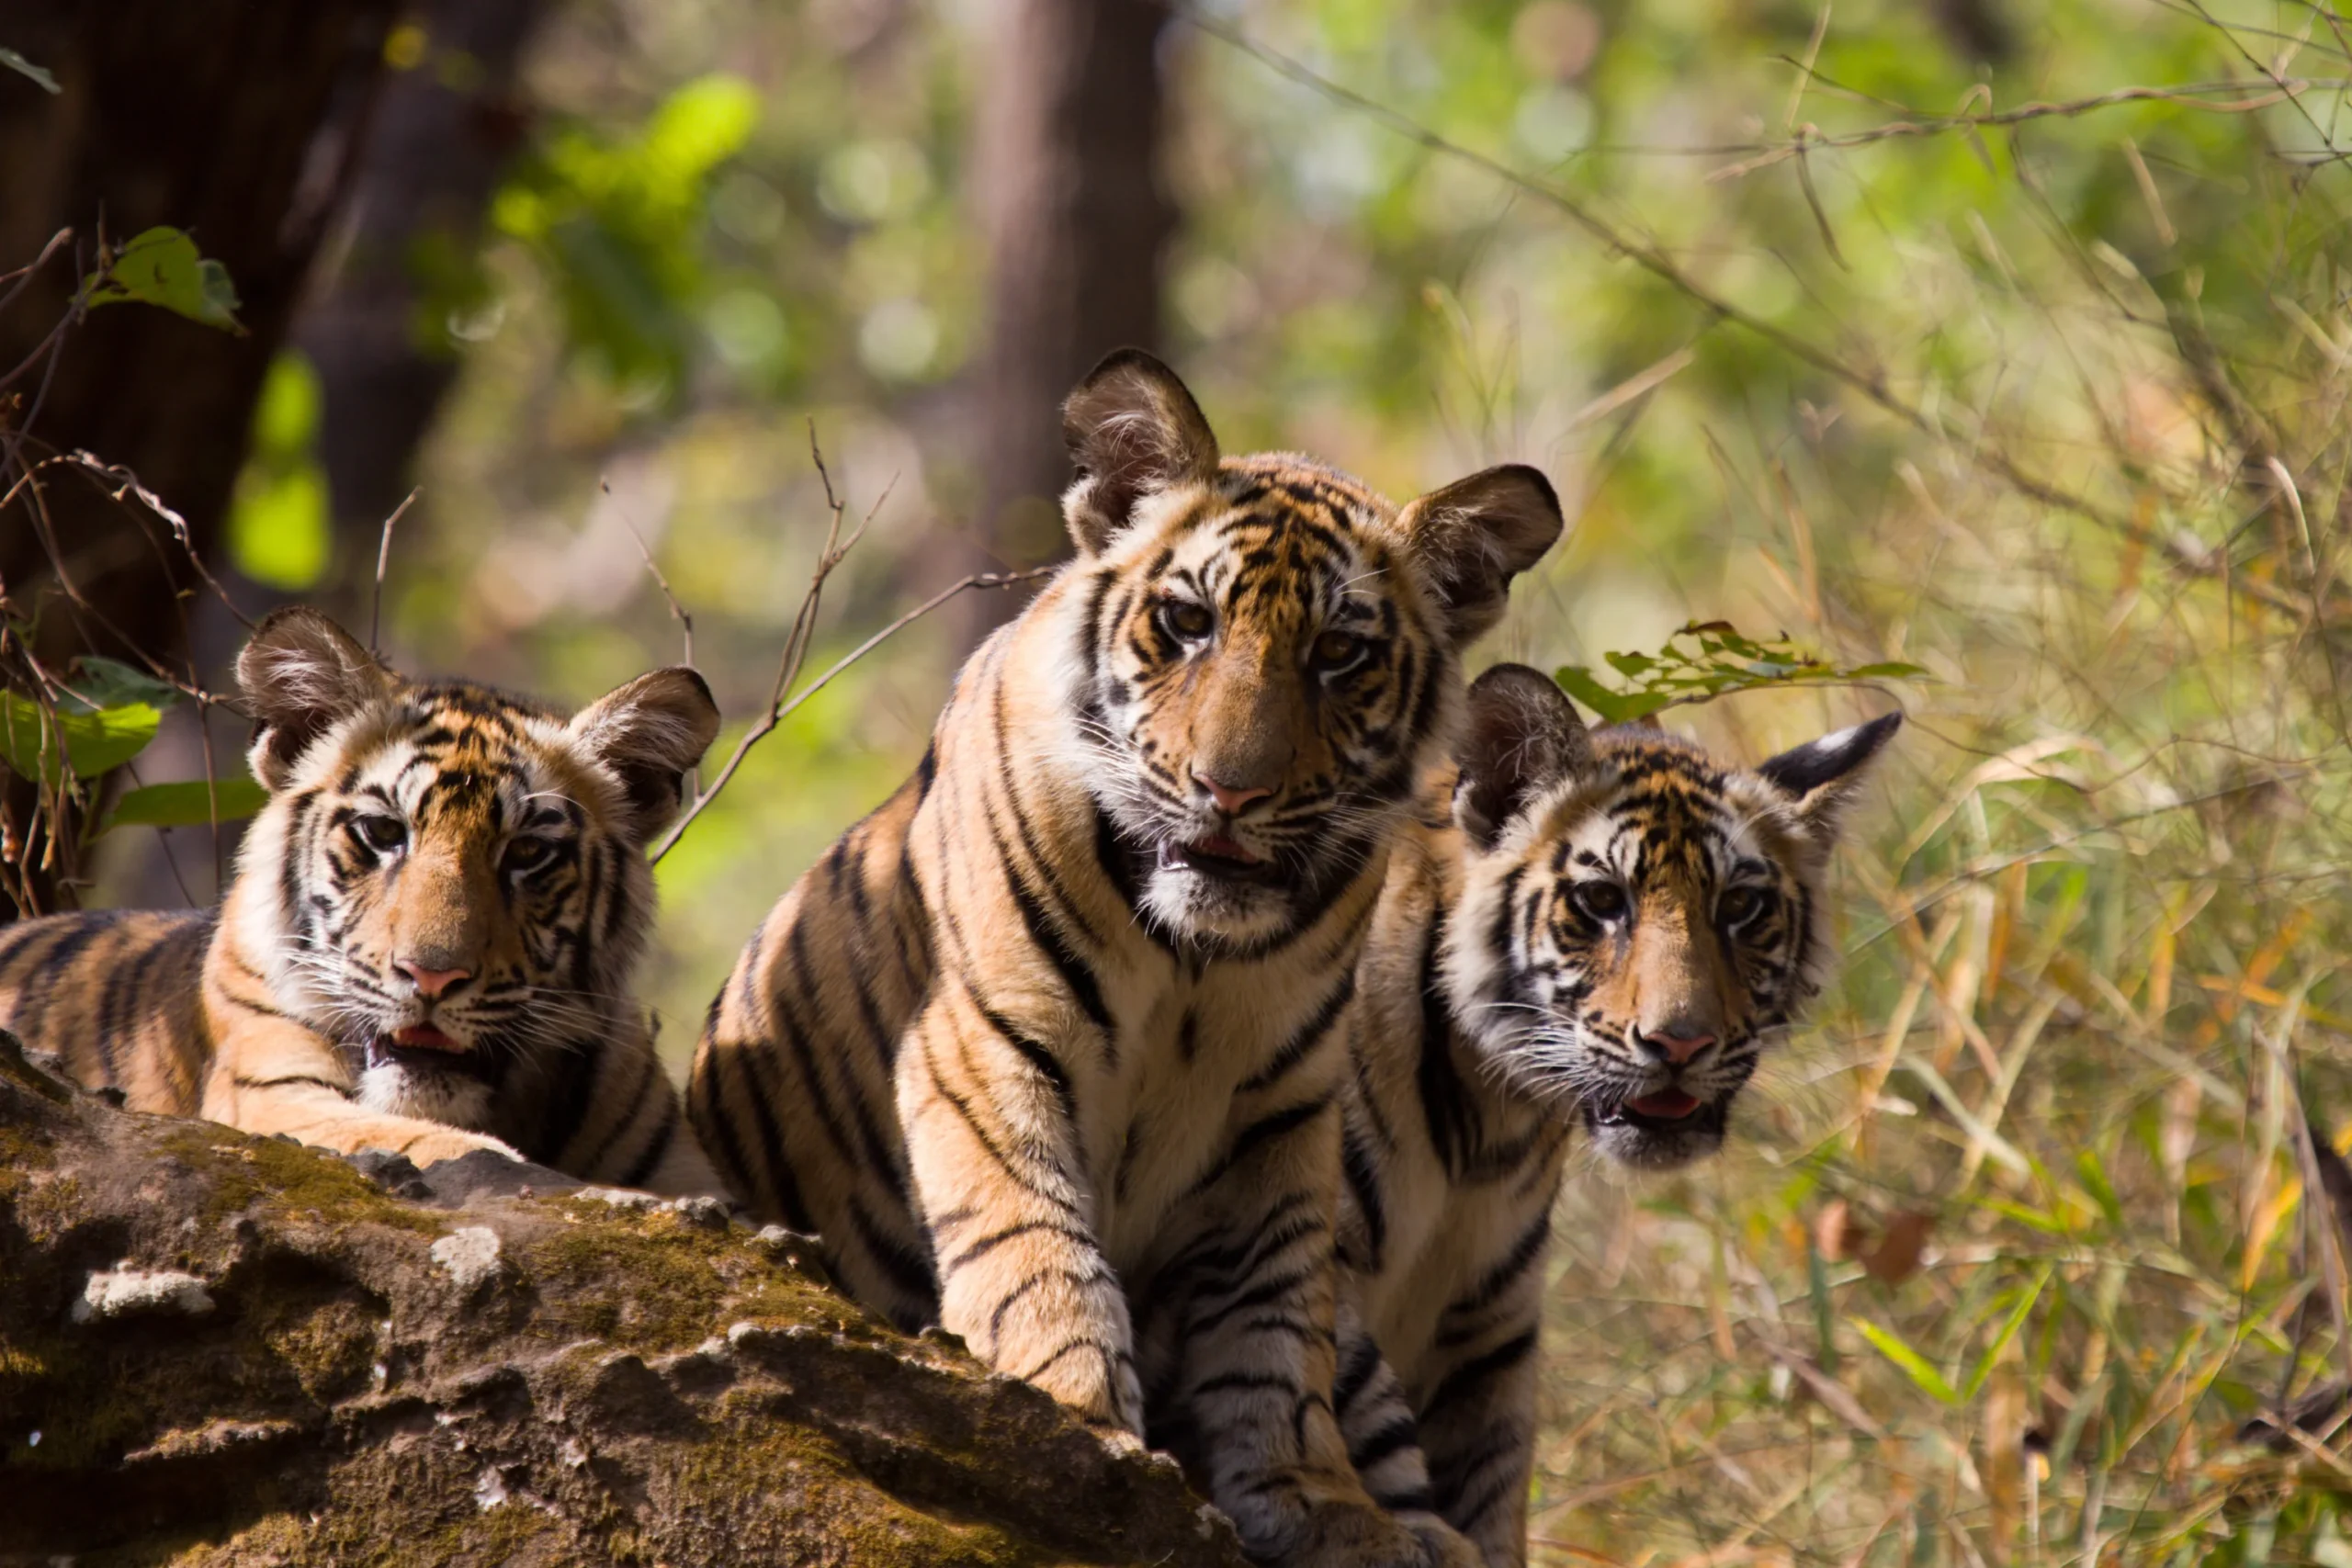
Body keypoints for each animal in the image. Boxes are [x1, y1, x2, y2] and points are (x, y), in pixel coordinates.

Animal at [689, 348, 1563, 1566]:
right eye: (1187, 622)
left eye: (1339, 654)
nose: (1230, 791)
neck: (1199, 963)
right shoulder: (985, 1040)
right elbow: (1032, 1239)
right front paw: (1074, 1422)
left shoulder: (1283, 1109)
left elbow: (1276, 1319)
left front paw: (1316, 1499)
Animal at [1332, 662, 1900, 1566]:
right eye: (1601, 900)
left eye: (1740, 907)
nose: (1680, 1041)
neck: (1485, 1114)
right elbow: (1358, 1403)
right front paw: (1407, 1534)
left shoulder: (1486, 1325)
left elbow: (1490, 1477)